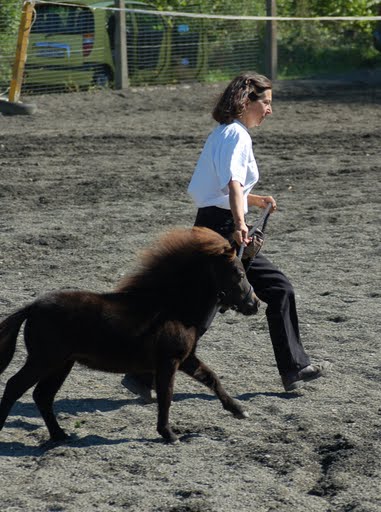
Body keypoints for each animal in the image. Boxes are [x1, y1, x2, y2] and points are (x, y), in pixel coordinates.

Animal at [0, 226, 258, 442]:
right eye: (239, 273)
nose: (254, 304)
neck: (171, 308)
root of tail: (32, 307)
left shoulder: (186, 359)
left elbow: (211, 378)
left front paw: (239, 410)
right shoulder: (169, 361)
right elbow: (166, 396)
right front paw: (169, 434)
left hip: (61, 364)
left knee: (42, 396)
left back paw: (60, 435)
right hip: (44, 360)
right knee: (15, 386)